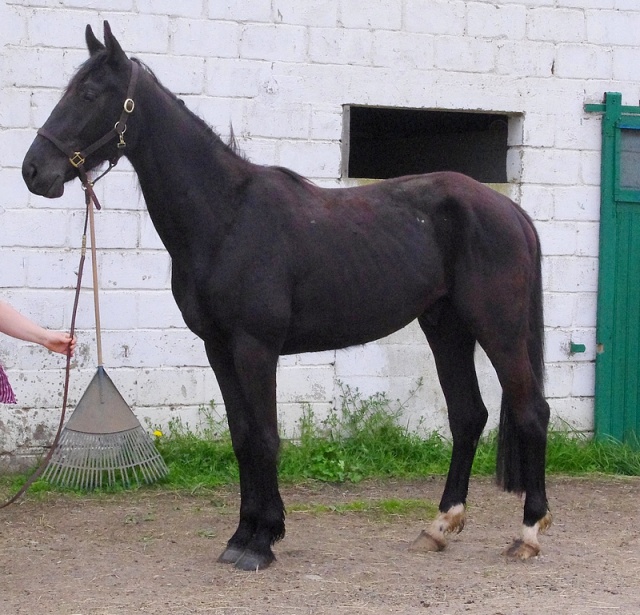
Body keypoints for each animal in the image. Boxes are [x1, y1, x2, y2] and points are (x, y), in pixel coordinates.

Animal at [23, 24, 552, 572]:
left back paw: (529, 533)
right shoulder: (219, 349)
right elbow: (242, 437)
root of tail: (511, 212)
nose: (34, 171)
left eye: (89, 94)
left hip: (498, 330)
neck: (226, 216)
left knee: (531, 411)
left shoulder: (256, 348)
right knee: (468, 416)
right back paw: (439, 526)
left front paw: (261, 541)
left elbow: (264, 437)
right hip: (446, 327)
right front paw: (243, 535)